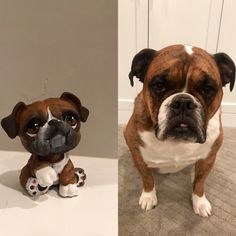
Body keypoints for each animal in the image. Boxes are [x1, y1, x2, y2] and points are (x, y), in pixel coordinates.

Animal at [124, 44, 235, 218]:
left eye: (207, 89)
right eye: (159, 86)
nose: (183, 102)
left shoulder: (208, 159)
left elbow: (199, 182)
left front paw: (200, 202)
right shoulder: (138, 155)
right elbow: (147, 179)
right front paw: (148, 197)